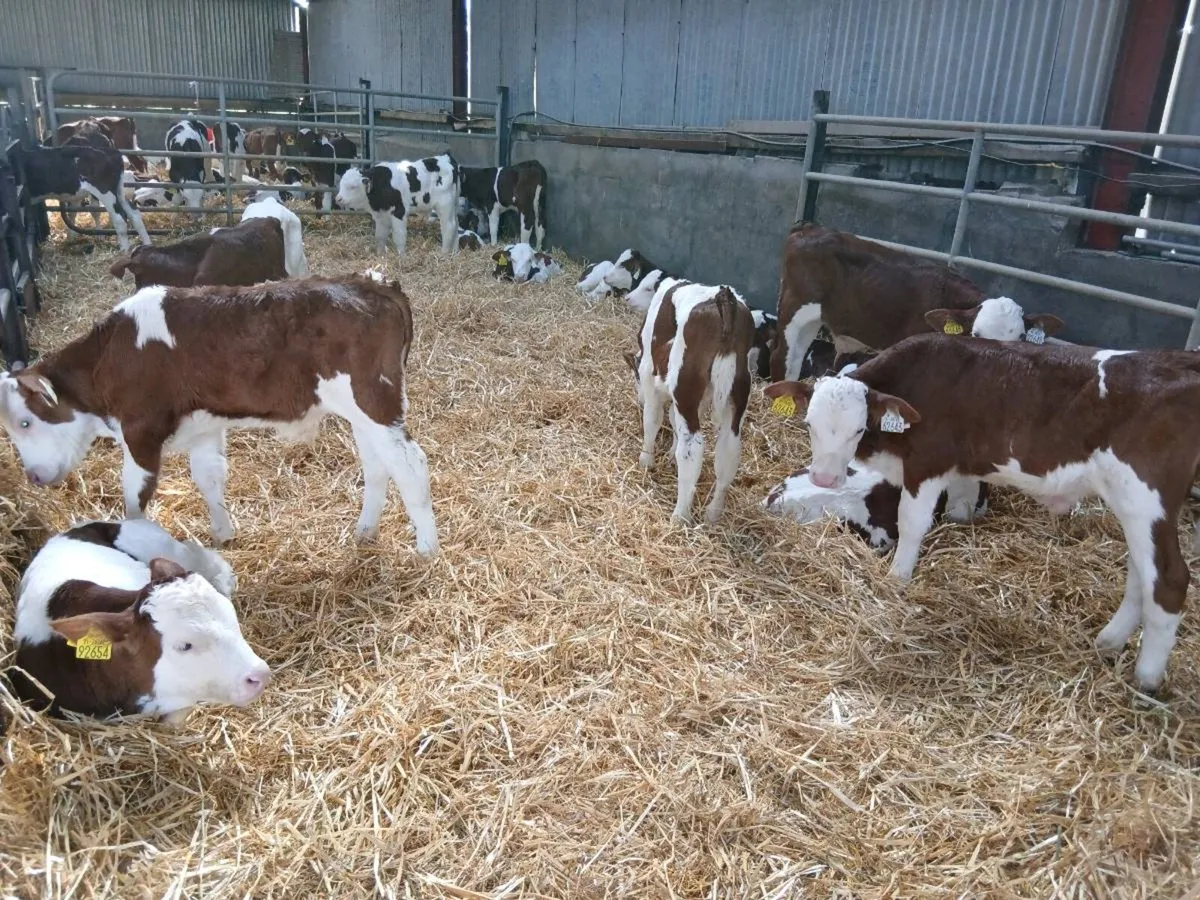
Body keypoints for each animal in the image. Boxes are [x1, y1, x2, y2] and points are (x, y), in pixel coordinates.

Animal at [0, 276, 440, 556]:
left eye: (25, 422)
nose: (33, 477)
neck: (110, 355)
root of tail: (374, 283)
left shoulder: (140, 431)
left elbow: (134, 499)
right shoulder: (203, 427)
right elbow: (208, 478)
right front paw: (223, 534)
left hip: (374, 401)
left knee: (411, 464)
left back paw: (427, 549)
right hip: (363, 413)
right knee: (378, 466)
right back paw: (365, 532)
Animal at [10, 134, 151, 251]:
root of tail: (111, 152)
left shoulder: (20, 202)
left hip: (105, 191)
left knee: (119, 217)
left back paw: (124, 251)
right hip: (118, 190)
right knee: (134, 213)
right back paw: (147, 244)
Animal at [624, 278, 755, 524]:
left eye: (635, 376)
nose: (638, 399)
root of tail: (725, 298)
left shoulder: (648, 373)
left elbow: (652, 420)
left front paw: (646, 460)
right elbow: (674, 421)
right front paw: (669, 455)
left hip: (685, 386)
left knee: (692, 448)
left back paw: (680, 516)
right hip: (737, 393)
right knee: (729, 449)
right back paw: (713, 513)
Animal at [763, 334, 1200, 692]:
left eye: (857, 429)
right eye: (809, 423)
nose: (824, 477)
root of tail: (1179, 361)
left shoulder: (928, 463)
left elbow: (912, 523)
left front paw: (897, 580)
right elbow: (959, 506)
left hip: (1145, 497)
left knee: (1169, 580)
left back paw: (1146, 679)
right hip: (1134, 506)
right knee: (1141, 576)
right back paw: (1108, 642)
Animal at [770, 223, 1063, 383]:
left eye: (1022, 338)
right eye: (976, 335)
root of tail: (810, 227)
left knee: (795, 358)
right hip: (794, 307)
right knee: (782, 356)